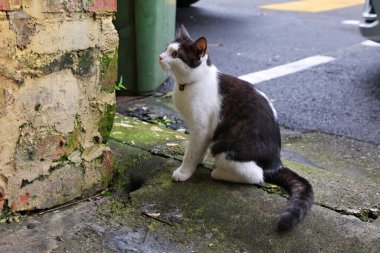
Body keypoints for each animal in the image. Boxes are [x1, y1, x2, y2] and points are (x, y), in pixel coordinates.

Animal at [159, 24, 314, 232]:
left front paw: (184, 171)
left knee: (256, 175)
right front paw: (197, 161)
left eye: (175, 54)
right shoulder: (204, 133)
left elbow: (190, 153)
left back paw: (219, 173)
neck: (191, 83)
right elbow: (197, 150)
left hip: (226, 147)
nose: (160, 57)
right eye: (166, 49)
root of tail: (276, 162)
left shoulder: (201, 129)